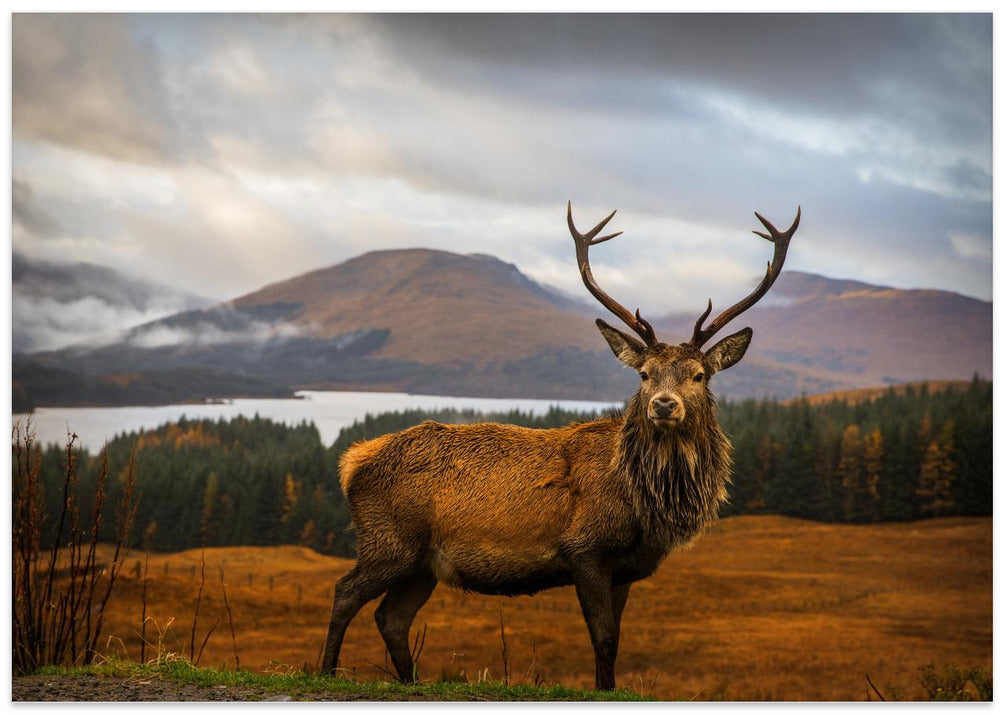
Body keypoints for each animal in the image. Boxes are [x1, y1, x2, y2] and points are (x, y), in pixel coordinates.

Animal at [321, 202, 800, 690]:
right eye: (644, 374)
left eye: (699, 375)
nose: (664, 405)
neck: (645, 505)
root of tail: (352, 461)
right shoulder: (584, 549)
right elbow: (603, 639)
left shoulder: (625, 569)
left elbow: (616, 640)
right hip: (389, 541)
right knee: (344, 593)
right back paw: (325, 671)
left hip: (422, 564)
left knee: (391, 618)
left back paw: (409, 681)